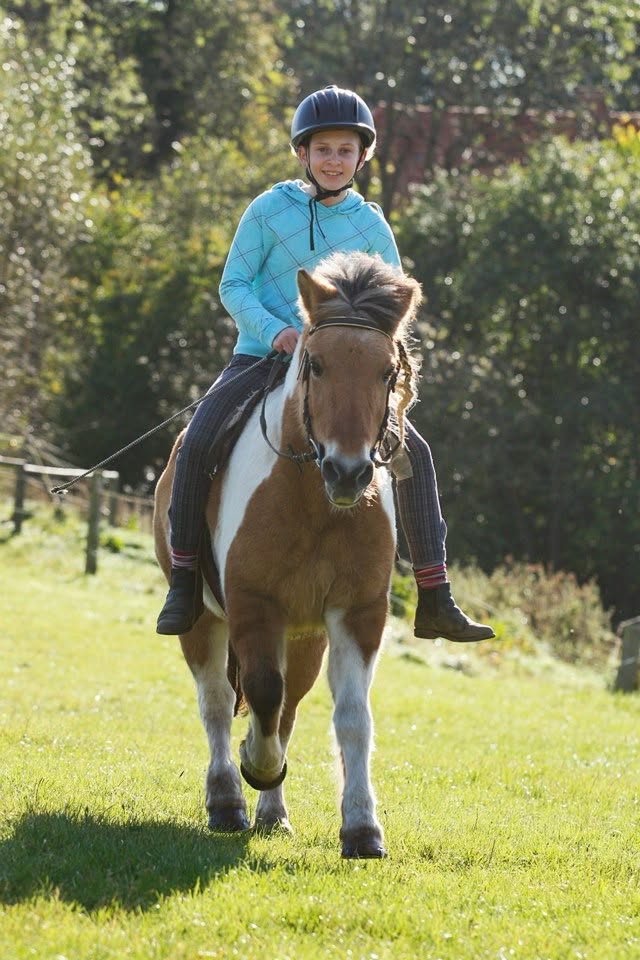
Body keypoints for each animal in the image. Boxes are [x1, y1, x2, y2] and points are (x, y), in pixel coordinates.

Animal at [153, 251, 422, 858]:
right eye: (315, 365)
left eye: (386, 372)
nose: (348, 472)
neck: (314, 504)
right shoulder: (255, 607)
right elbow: (258, 693)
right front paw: (257, 764)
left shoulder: (356, 614)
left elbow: (351, 716)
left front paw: (362, 828)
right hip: (203, 620)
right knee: (217, 700)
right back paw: (228, 800)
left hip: (305, 637)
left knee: (290, 707)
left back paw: (273, 813)